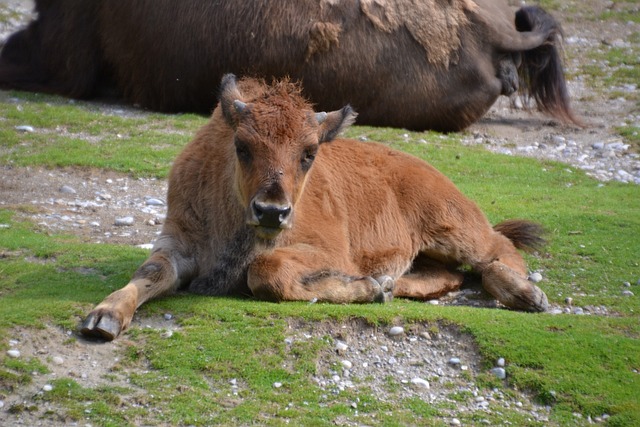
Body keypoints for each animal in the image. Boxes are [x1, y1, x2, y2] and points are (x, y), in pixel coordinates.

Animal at [81, 73, 552, 342]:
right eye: (242, 146)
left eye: (309, 153)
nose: (272, 211)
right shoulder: (177, 242)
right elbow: (150, 273)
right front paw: (103, 318)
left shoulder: (327, 251)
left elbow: (265, 270)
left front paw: (363, 287)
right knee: (447, 275)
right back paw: (389, 285)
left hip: (455, 229)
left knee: (498, 252)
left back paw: (528, 296)